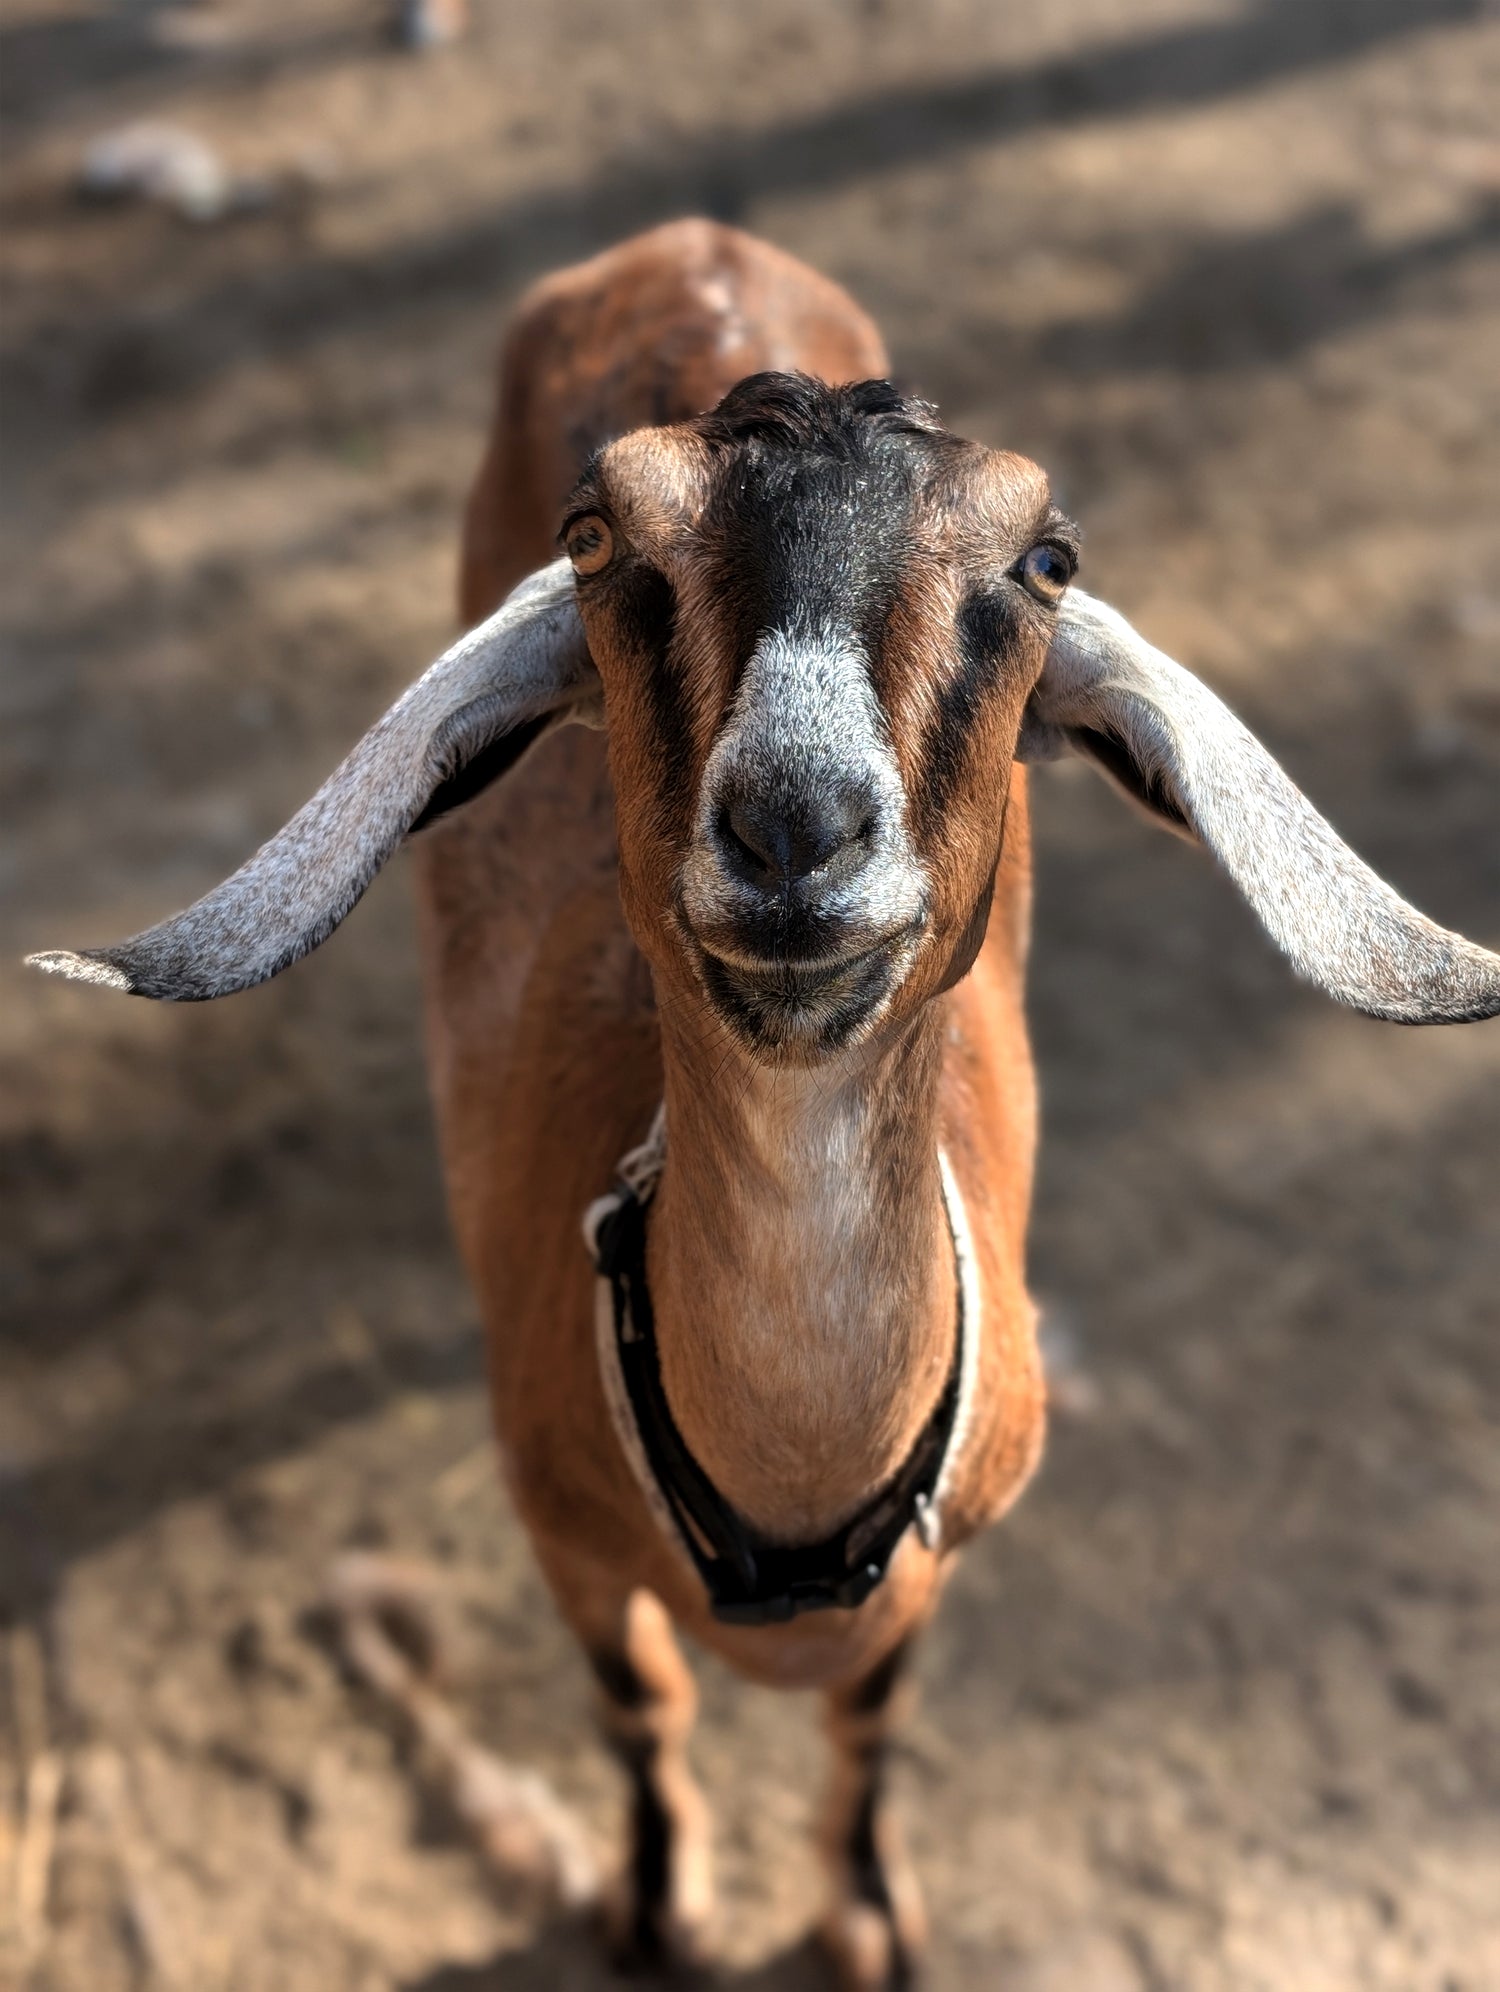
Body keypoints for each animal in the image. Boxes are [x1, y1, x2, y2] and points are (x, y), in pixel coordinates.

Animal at [30, 218, 1500, 1988]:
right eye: (597, 535)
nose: (796, 827)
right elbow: (640, 1708)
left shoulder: (933, 1572)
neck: (791, 1495)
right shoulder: (559, 1537)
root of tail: (692, 240)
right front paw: (658, 1908)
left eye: (1046, 558)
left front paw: (865, 1916)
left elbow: (870, 1727)